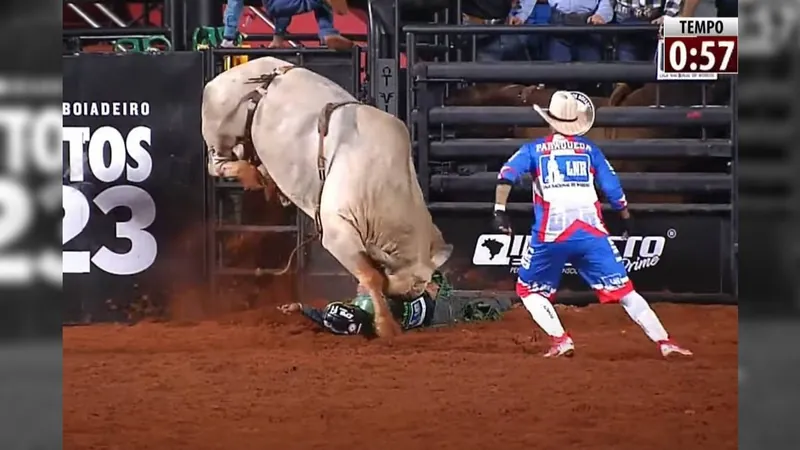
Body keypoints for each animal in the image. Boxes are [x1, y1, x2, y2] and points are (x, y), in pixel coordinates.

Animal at [202, 56, 450, 336]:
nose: (408, 302)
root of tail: (226, 75)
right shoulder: (337, 233)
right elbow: (371, 276)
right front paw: (386, 325)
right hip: (219, 132)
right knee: (216, 164)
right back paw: (251, 175)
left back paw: (267, 181)